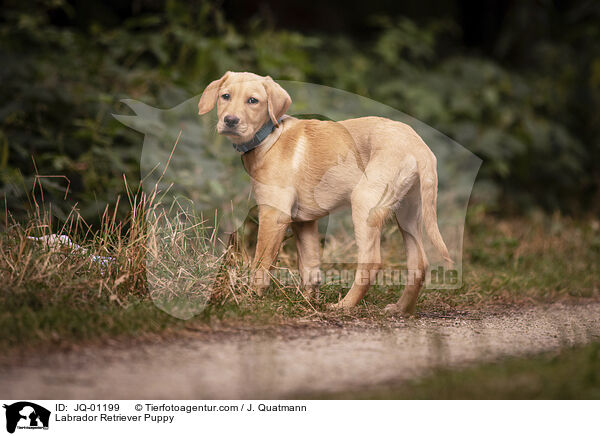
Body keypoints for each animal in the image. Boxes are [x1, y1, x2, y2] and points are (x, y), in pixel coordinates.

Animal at [198, 72, 450, 316]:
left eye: (253, 101)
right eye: (225, 96)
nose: (230, 121)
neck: (269, 137)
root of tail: (419, 148)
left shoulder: (273, 216)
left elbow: (261, 263)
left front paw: (250, 299)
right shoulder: (304, 222)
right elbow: (310, 268)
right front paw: (306, 304)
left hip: (365, 203)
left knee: (371, 262)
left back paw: (344, 306)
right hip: (408, 212)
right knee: (419, 264)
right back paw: (401, 309)